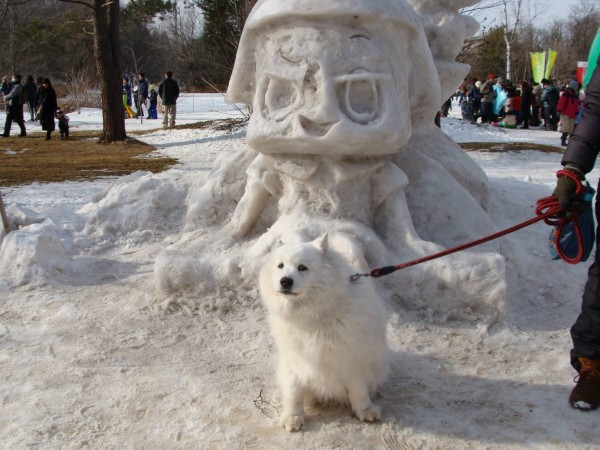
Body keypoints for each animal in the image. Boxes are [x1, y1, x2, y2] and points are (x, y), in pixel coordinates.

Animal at [258, 234, 390, 430]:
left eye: (302, 267)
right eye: (280, 266)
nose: (285, 281)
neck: (313, 316)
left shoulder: (351, 358)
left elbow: (358, 390)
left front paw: (365, 411)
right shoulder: (294, 359)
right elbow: (293, 392)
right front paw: (292, 417)